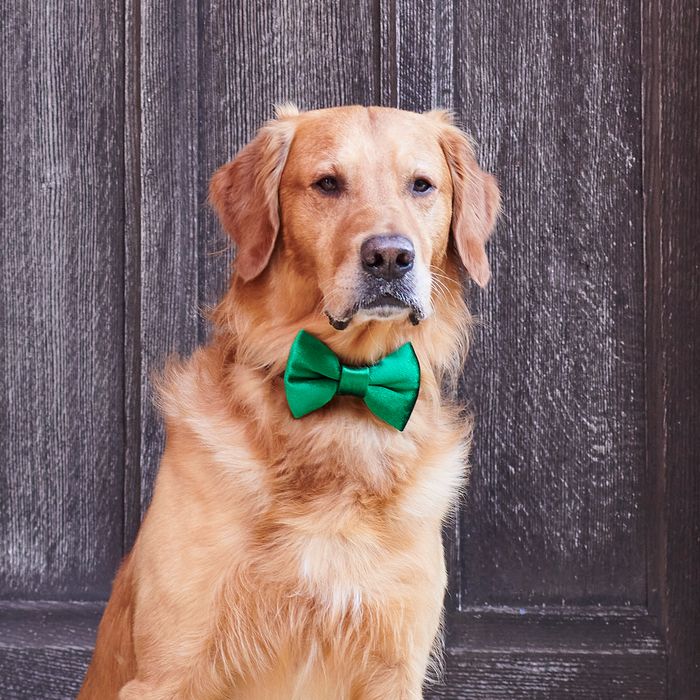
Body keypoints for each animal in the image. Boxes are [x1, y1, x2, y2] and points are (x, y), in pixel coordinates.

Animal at [79, 104, 500, 700]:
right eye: (327, 183)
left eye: (422, 185)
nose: (390, 257)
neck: (344, 390)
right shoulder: (167, 672)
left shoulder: (394, 668)